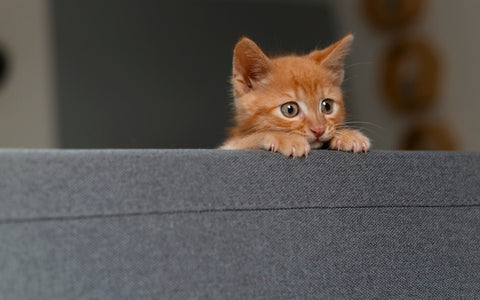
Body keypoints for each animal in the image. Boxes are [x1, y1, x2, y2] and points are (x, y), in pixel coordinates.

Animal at [219, 34, 370, 157]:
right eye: (289, 109)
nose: (319, 130)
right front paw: (285, 138)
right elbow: (249, 138)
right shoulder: (229, 146)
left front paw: (347, 134)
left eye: (327, 106)